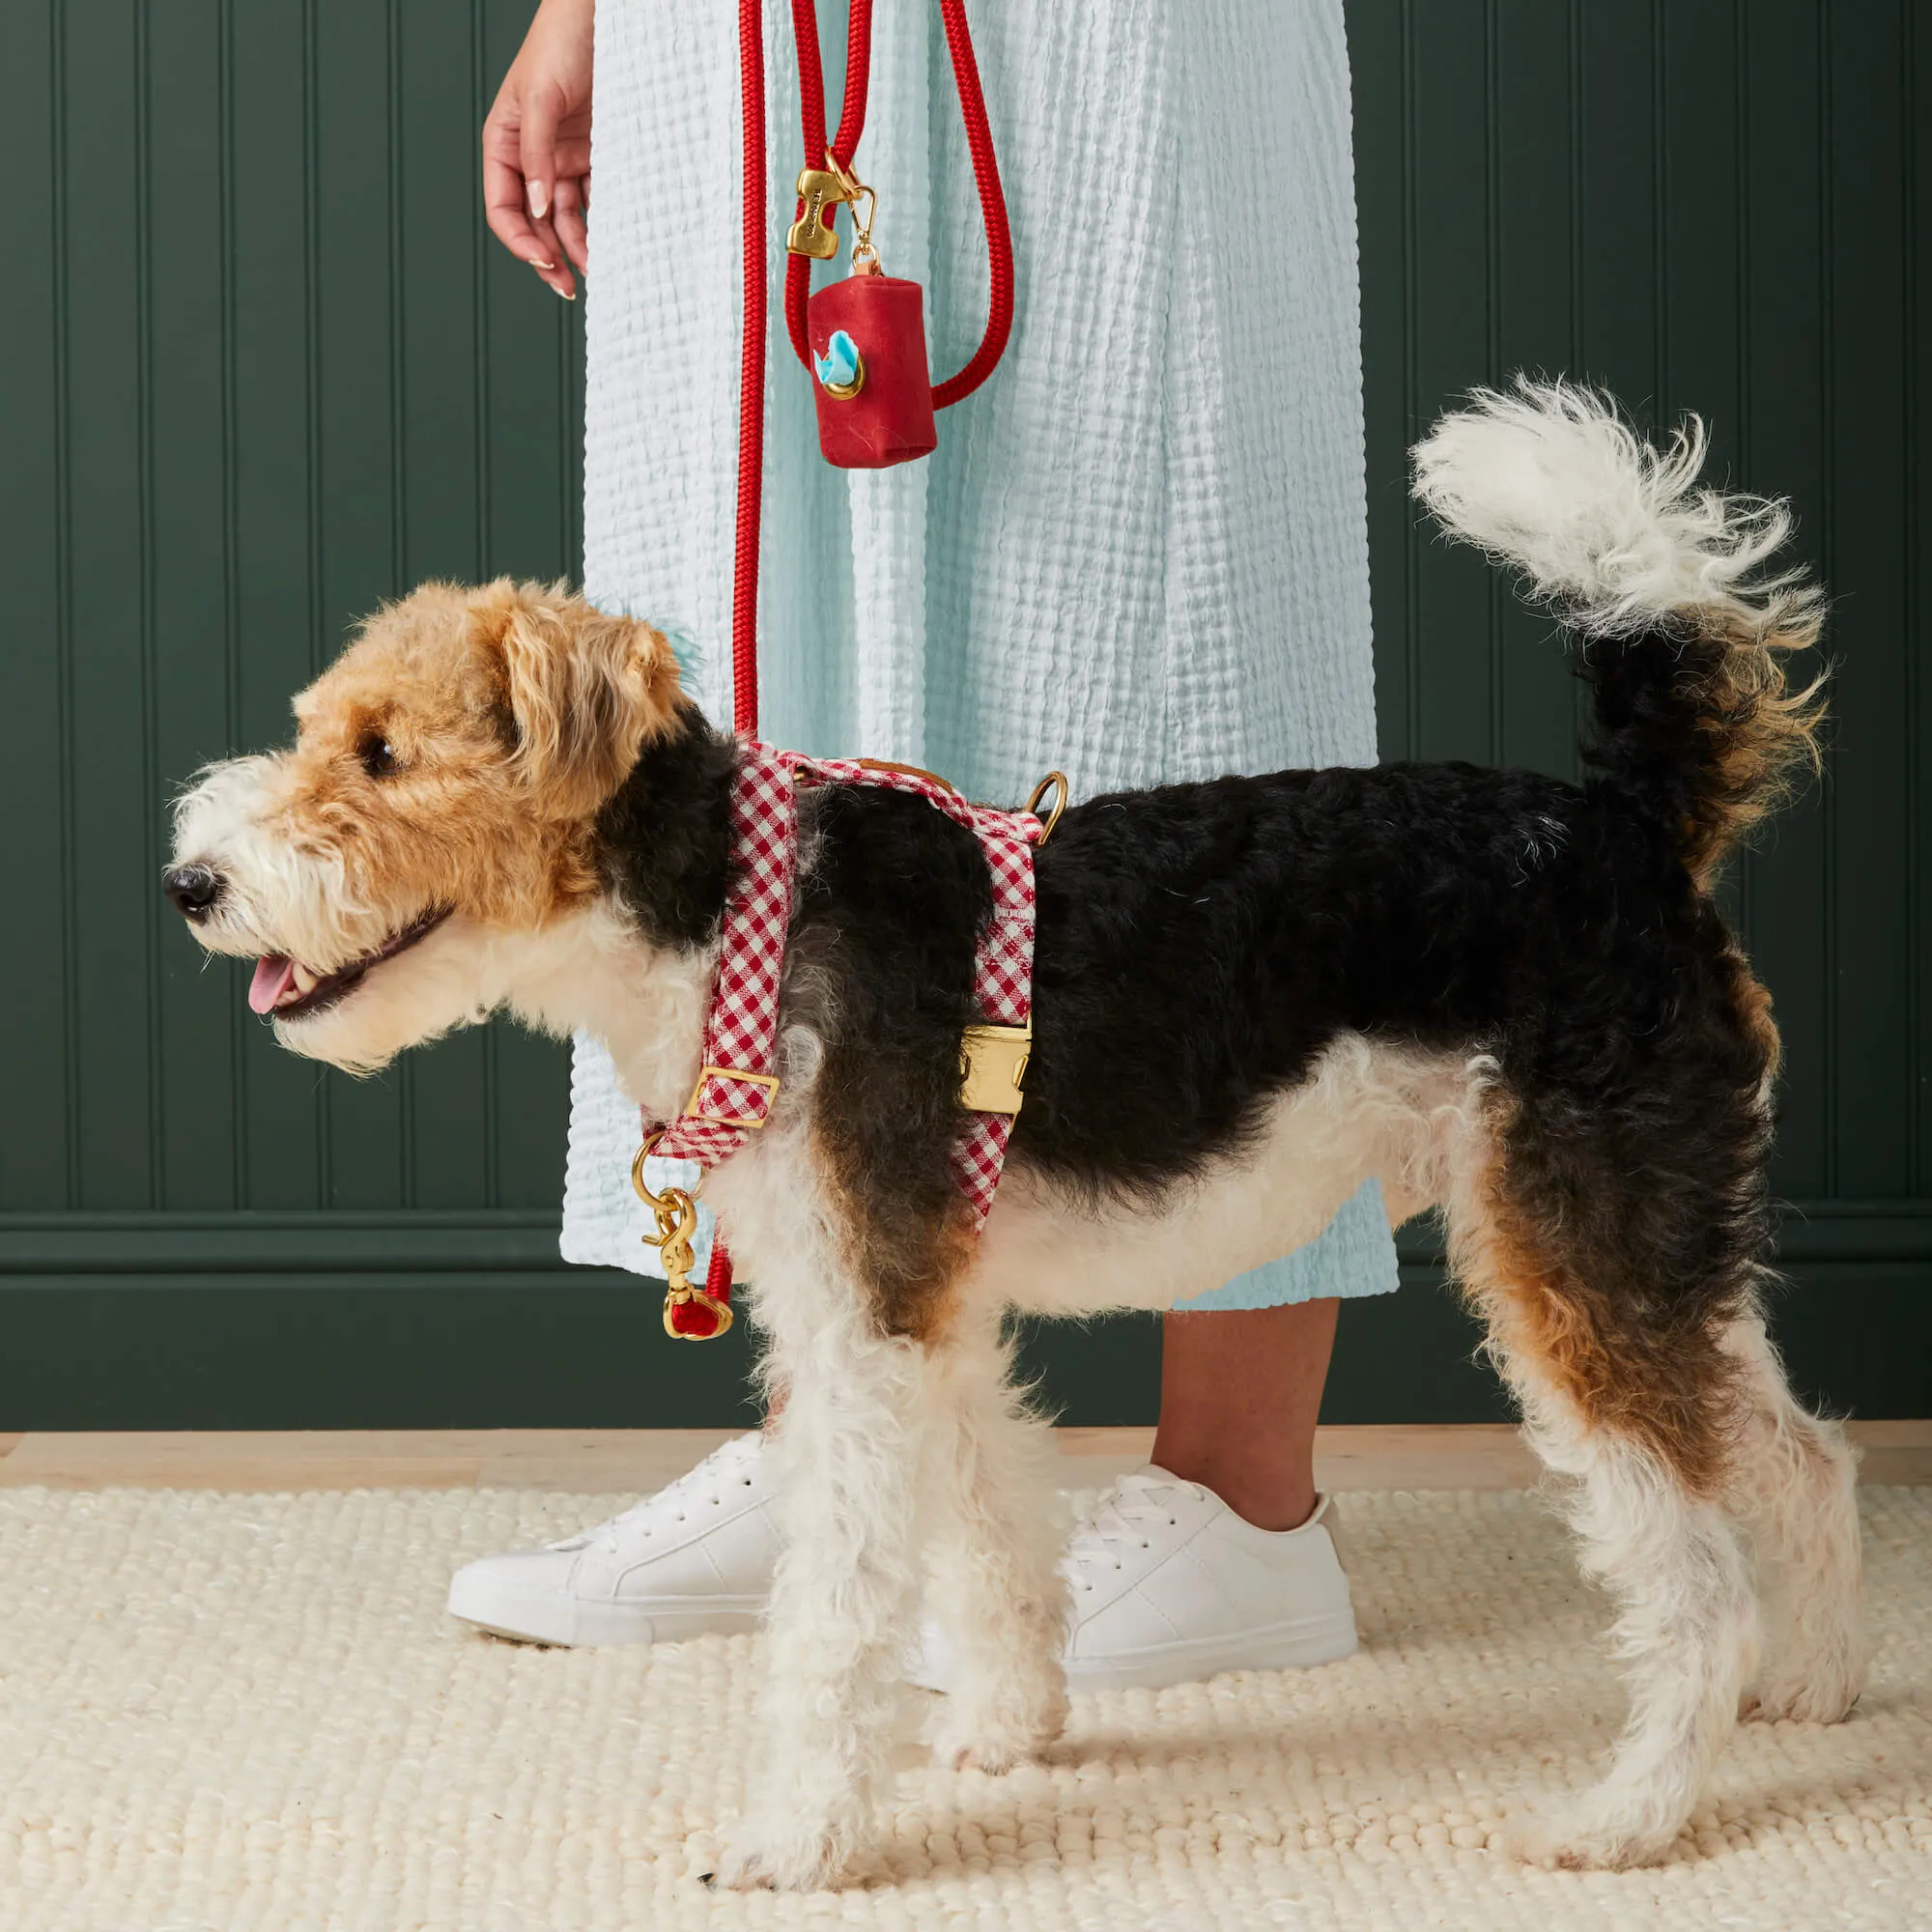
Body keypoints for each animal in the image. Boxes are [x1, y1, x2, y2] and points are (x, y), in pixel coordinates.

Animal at [174, 384, 1862, 1893]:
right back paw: (1821, 1684)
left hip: (1570, 1257)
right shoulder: (923, 1302)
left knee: (1690, 1576)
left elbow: (833, 1613)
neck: (732, 909)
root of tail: (1624, 830)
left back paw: (1627, 1817)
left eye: (383, 753)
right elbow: (981, 1531)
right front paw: (1005, 1731)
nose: (191, 883)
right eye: (327, 731)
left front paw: (799, 1839)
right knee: (1799, 1453)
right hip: (1658, 1243)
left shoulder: (864, 1323)